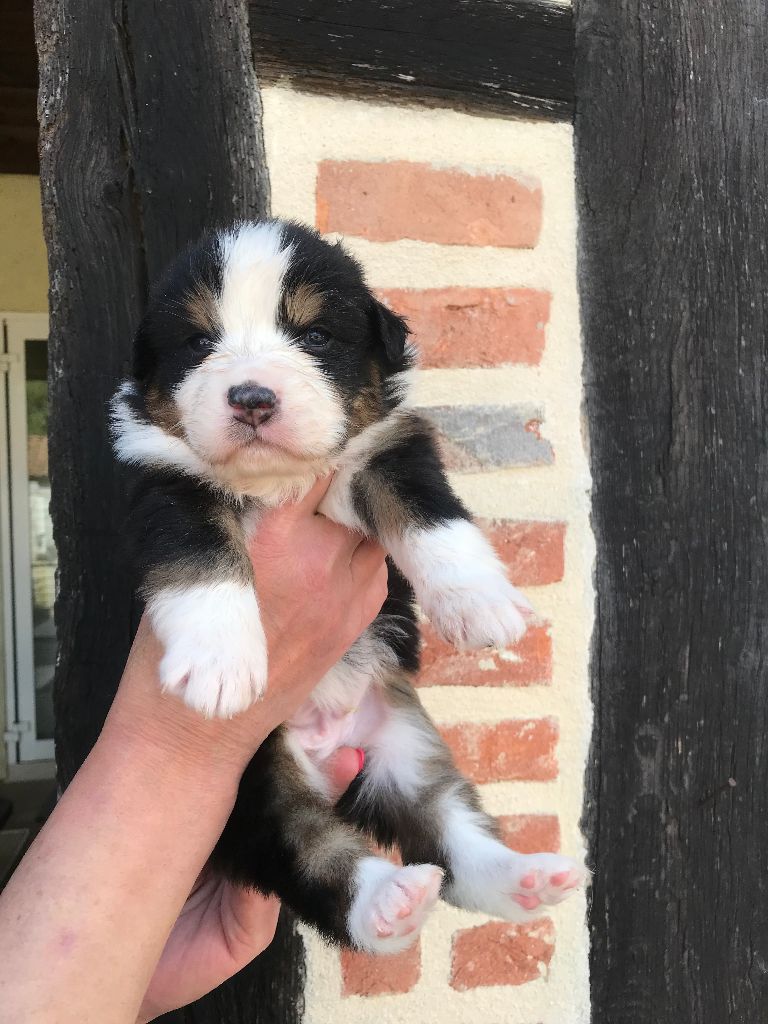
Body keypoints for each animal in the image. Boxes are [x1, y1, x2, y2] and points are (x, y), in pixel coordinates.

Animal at [111, 220, 585, 954]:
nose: (252, 398)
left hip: (403, 744)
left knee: (450, 824)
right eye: (199, 342)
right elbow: (202, 559)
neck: (273, 483)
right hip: (255, 784)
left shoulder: (388, 451)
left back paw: (522, 878)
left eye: (314, 336)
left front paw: (480, 604)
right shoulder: (165, 486)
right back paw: (385, 903)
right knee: (313, 854)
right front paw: (220, 664)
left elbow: (431, 518)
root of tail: (326, 737)